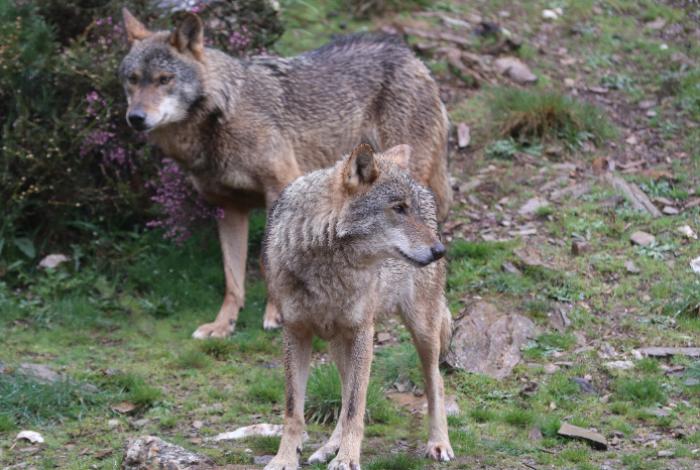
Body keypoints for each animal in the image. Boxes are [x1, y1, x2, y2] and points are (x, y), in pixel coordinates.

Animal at [119, 9, 451, 339]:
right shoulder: (228, 208)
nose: (135, 118)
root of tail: (411, 56)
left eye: (165, 79)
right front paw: (223, 324)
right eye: (132, 80)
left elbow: (267, 259)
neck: (223, 114)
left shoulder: (279, 187)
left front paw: (276, 313)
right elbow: (232, 277)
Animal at [262, 143, 454, 469]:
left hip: (422, 330)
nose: (440, 250)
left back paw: (439, 443)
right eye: (399, 208)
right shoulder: (295, 332)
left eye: (410, 209)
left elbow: (355, 408)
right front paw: (285, 459)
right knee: (344, 393)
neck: (326, 268)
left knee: (435, 382)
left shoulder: (364, 331)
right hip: (339, 344)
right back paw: (328, 448)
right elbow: (293, 411)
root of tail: (423, 185)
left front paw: (347, 459)